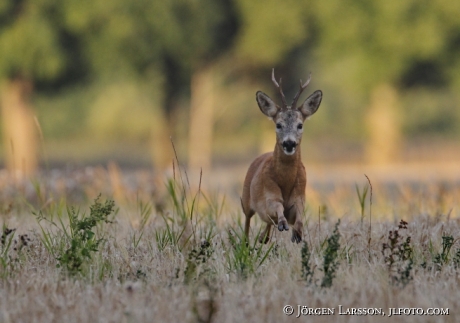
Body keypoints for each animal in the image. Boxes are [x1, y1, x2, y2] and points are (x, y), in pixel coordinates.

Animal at [243, 69, 322, 244]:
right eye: (278, 124)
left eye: (300, 125)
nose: (289, 143)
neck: (285, 181)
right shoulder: (269, 194)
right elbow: (277, 206)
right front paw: (283, 224)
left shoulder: (300, 196)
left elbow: (299, 216)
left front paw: (297, 234)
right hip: (245, 198)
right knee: (247, 220)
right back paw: (246, 242)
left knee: (267, 226)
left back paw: (263, 238)